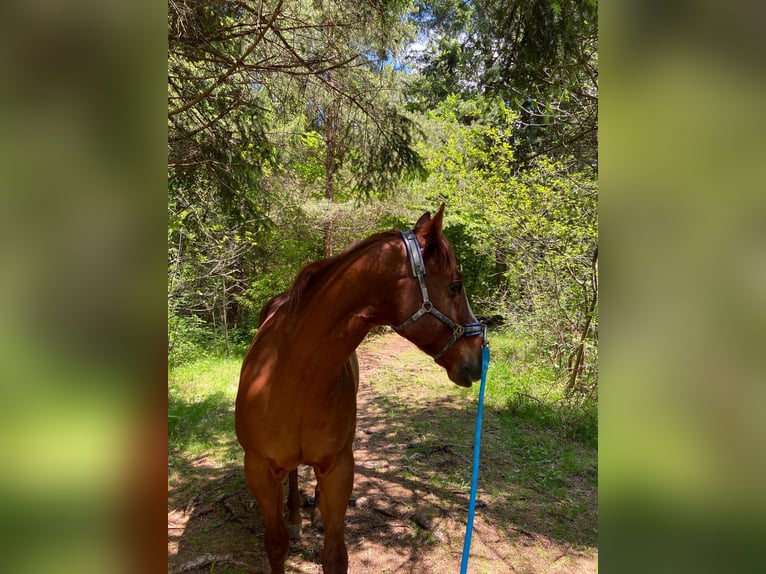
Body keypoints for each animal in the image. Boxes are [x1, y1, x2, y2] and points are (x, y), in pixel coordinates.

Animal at [234, 207, 486, 574]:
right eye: (455, 285)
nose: (479, 355)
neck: (292, 375)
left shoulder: (340, 467)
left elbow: (335, 556)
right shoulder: (259, 471)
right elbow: (276, 544)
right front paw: (289, 526)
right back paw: (296, 518)